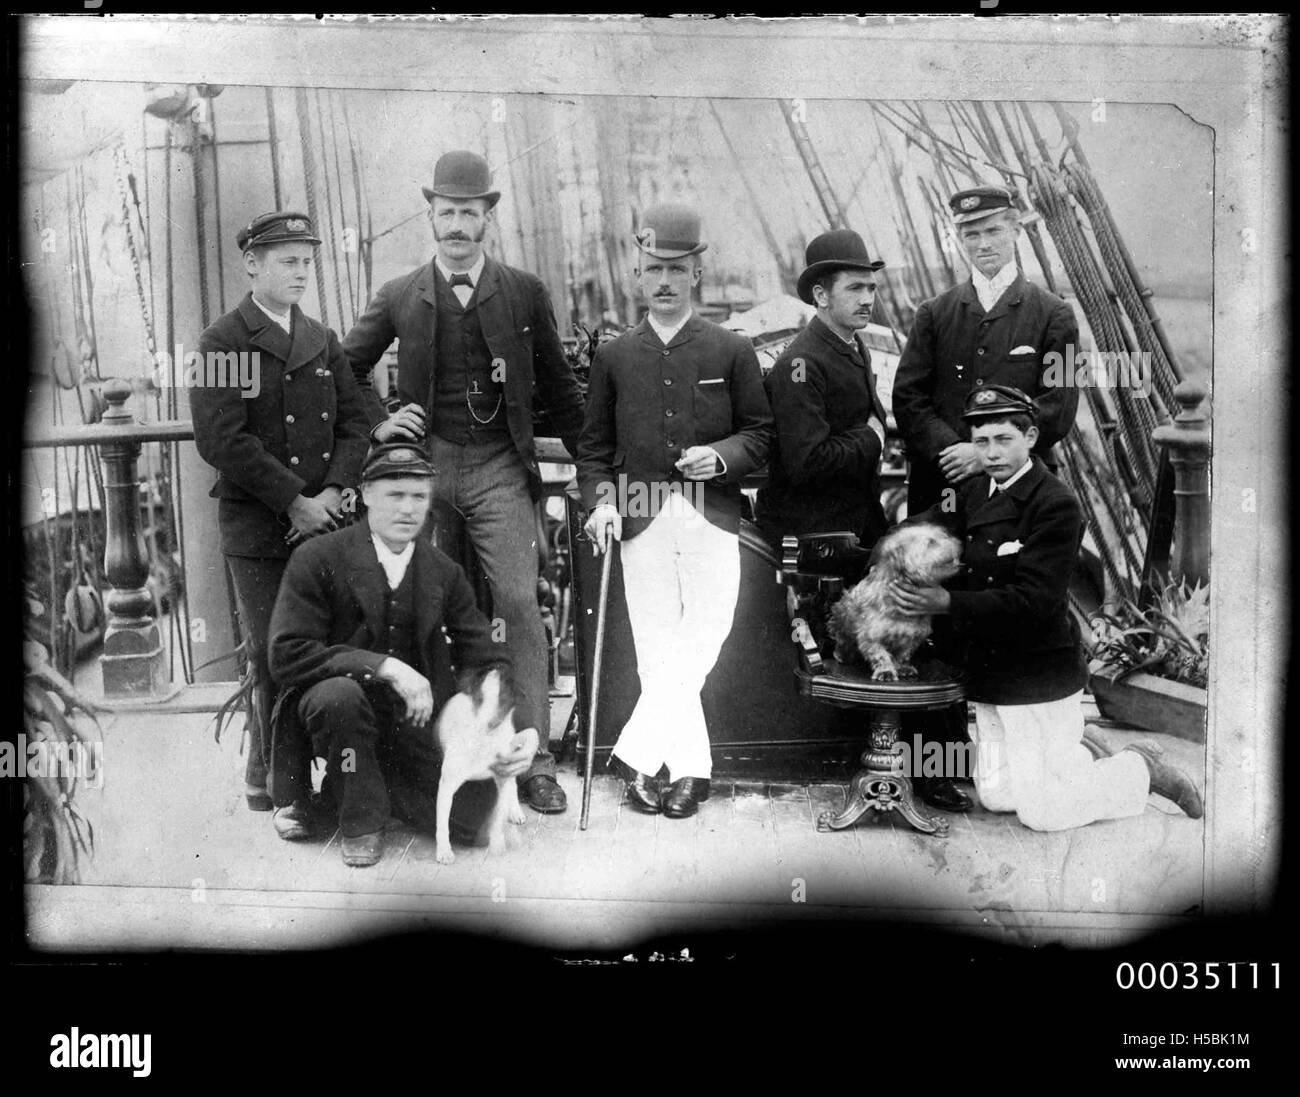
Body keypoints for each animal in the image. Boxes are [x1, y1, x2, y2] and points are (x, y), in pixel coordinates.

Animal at [826, 519, 961, 675]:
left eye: (944, 535)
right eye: (931, 542)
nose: (958, 543)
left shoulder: (912, 636)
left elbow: (903, 654)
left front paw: (903, 667)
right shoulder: (870, 634)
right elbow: (879, 654)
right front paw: (885, 671)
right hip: (843, 622)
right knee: (843, 641)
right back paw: (842, 655)